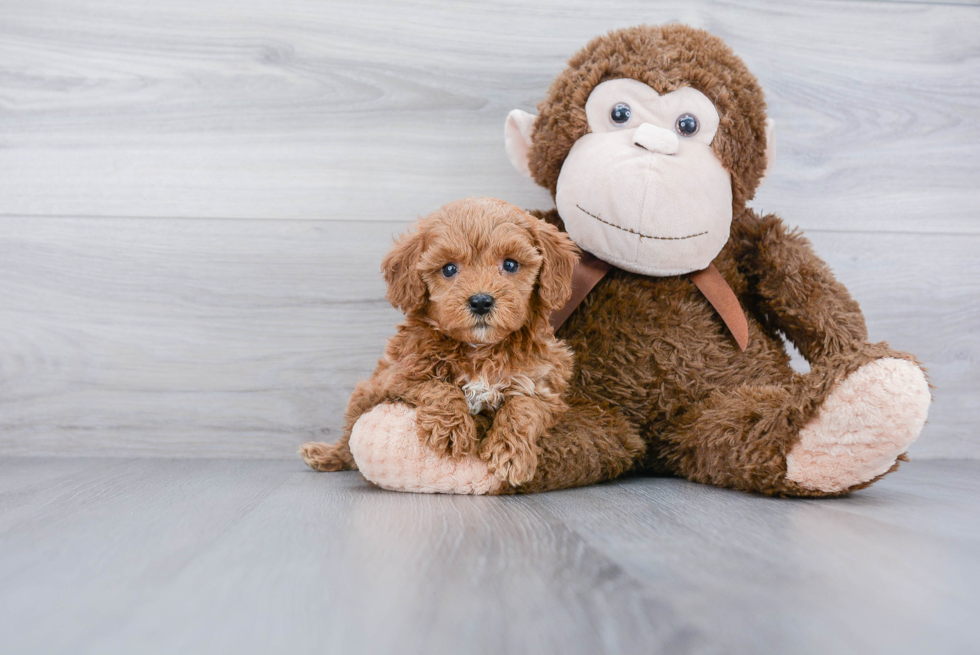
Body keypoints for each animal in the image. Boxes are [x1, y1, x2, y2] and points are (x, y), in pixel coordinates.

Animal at [298, 197, 580, 484]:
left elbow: (525, 406)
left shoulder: (545, 385)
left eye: (511, 264)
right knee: (348, 439)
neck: (479, 350)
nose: (481, 301)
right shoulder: (398, 375)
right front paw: (452, 431)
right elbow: (439, 386)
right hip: (365, 394)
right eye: (449, 269)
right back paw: (326, 454)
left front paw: (510, 452)